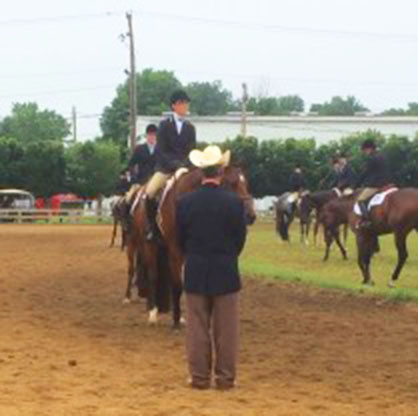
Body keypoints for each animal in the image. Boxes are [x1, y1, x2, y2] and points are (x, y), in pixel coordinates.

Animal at [125, 166, 256, 328]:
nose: (251, 216)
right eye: (232, 183)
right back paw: (150, 311)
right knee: (149, 274)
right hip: (144, 245)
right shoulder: (175, 250)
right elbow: (177, 284)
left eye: (246, 183)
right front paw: (175, 321)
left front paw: (181, 317)